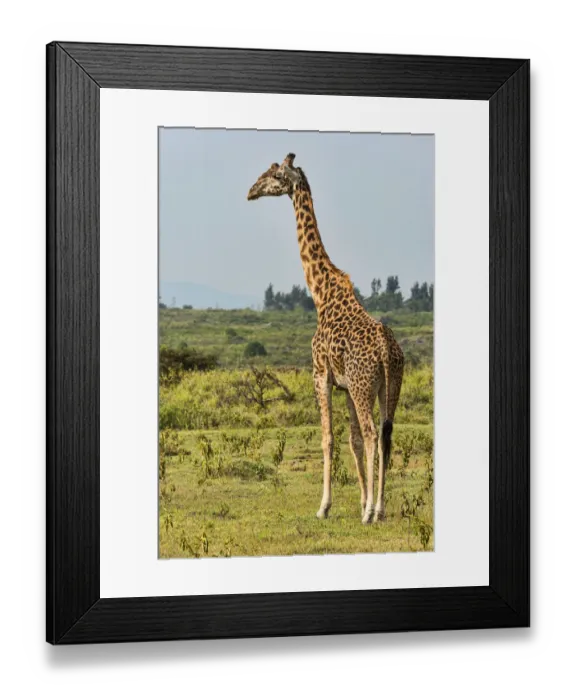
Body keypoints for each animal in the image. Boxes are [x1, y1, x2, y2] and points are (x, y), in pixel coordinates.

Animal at [247, 154, 404, 524]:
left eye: (276, 175)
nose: (251, 191)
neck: (321, 293)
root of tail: (386, 351)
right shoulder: (345, 385)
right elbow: (353, 439)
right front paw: (361, 501)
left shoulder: (321, 374)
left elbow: (328, 438)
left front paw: (325, 506)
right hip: (388, 384)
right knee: (385, 433)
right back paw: (380, 508)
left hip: (365, 386)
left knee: (375, 433)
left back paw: (372, 513)